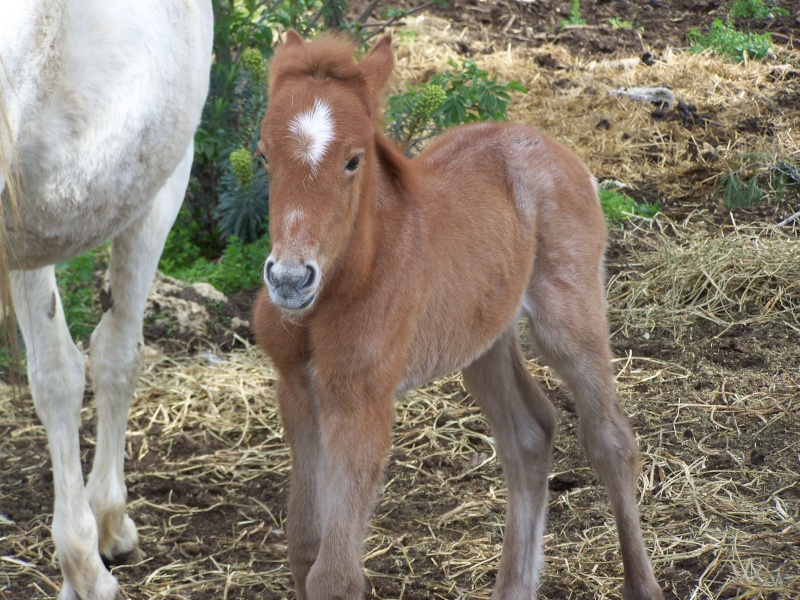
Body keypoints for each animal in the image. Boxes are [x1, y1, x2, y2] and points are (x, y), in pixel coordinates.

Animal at [255, 30, 664, 596]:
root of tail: (550, 143)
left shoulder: (362, 400)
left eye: (353, 160)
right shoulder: (297, 390)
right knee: (529, 434)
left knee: (610, 439)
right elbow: (302, 548)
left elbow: (334, 574)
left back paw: (641, 584)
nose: (290, 280)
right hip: (483, 338)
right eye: (263, 157)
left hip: (568, 311)